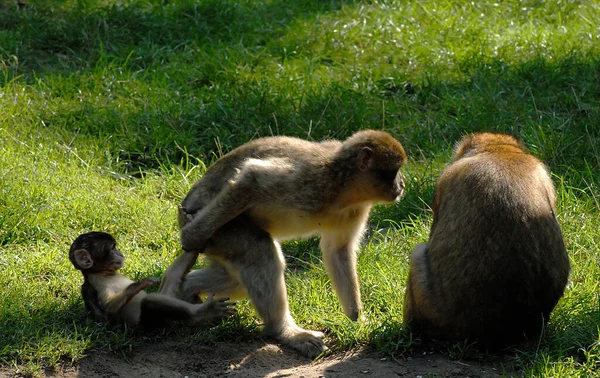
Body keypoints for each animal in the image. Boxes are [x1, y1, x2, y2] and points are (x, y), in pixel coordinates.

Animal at [69, 232, 236, 326]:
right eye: (112, 249)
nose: (120, 253)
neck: (106, 274)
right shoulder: (94, 285)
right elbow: (108, 312)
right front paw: (142, 283)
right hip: (155, 320)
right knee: (150, 302)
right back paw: (206, 311)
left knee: (172, 277)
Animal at [169, 130, 408, 358]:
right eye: (394, 171)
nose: (403, 185)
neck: (344, 189)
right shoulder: (310, 182)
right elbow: (251, 179)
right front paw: (191, 235)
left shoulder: (355, 210)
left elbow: (338, 251)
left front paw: (357, 319)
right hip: (222, 231)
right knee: (260, 252)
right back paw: (283, 330)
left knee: (238, 280)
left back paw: (189, 288)